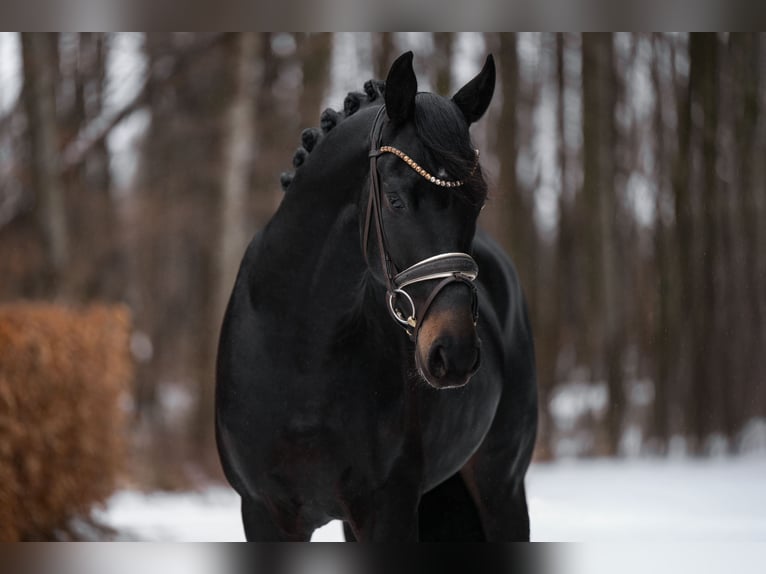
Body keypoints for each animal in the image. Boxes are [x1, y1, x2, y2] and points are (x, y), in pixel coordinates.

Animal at [215, 51, 537, 542]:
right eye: (395, 199)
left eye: (477, 202)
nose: (454, 352)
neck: (299, 352)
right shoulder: (264, 513)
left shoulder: (388, 511)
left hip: (502, 487)